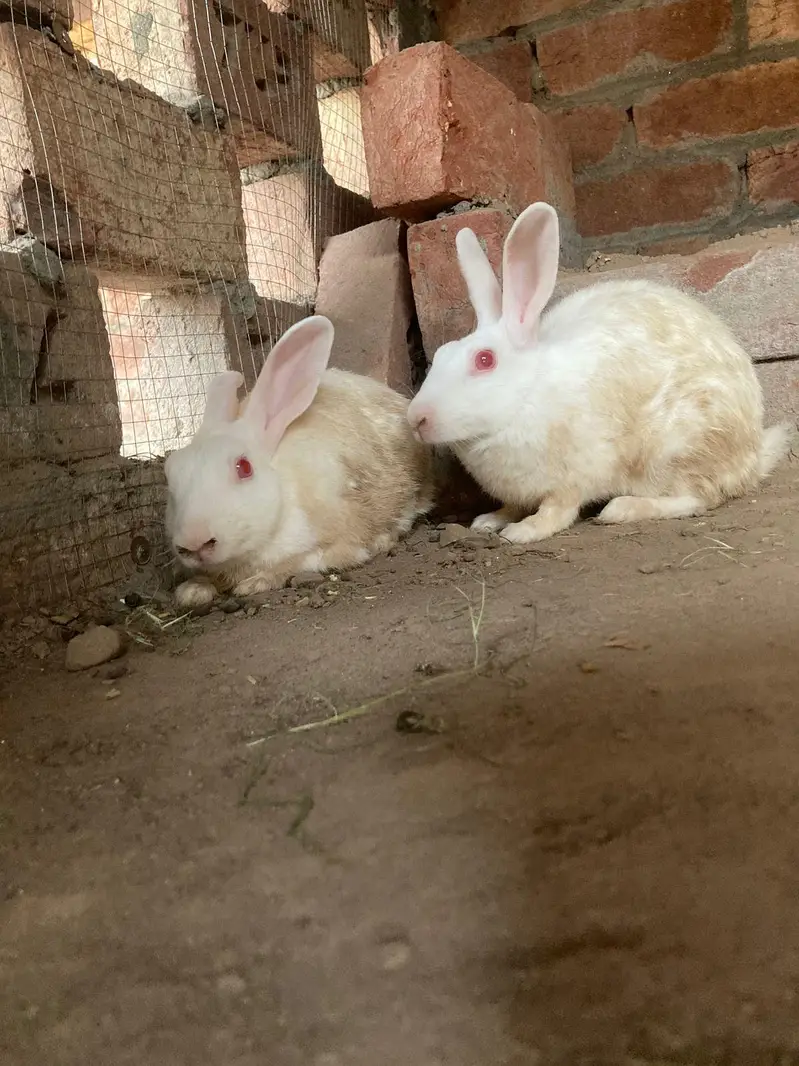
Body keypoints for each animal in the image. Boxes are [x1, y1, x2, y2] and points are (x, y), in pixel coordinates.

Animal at [165, 315, 435, 609]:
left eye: (244, 467)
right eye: (169, 474)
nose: (194, 542)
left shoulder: (333, 538)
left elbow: (302, 561)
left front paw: (256, 583)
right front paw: (191, 591)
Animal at [406, 201, 791, 545]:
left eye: (484, 360)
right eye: (441, 354)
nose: (416, 419)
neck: (526, 398)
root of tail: (752, 457)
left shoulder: (573, 477)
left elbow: (557, 510)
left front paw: (523, 532)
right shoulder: (518, 490)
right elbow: (511, 505)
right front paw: (488, 521)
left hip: (680, 448)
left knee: (696, 498)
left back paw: (621, 509)